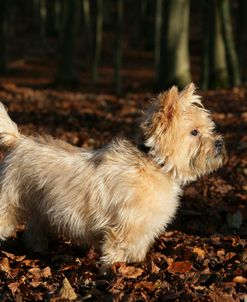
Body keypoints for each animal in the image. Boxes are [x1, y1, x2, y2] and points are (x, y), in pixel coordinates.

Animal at [0, 84, 225, 266]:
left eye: (209, 129)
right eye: (194, 132)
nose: (220, 143)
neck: (154, 162)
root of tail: (19, 141)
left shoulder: (142, 229)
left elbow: (137, 249)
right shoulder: (122, 228)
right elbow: (115, 253)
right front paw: (114, 272)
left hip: (42, 204)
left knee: (33, 229)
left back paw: (39, 249)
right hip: (10, 202)